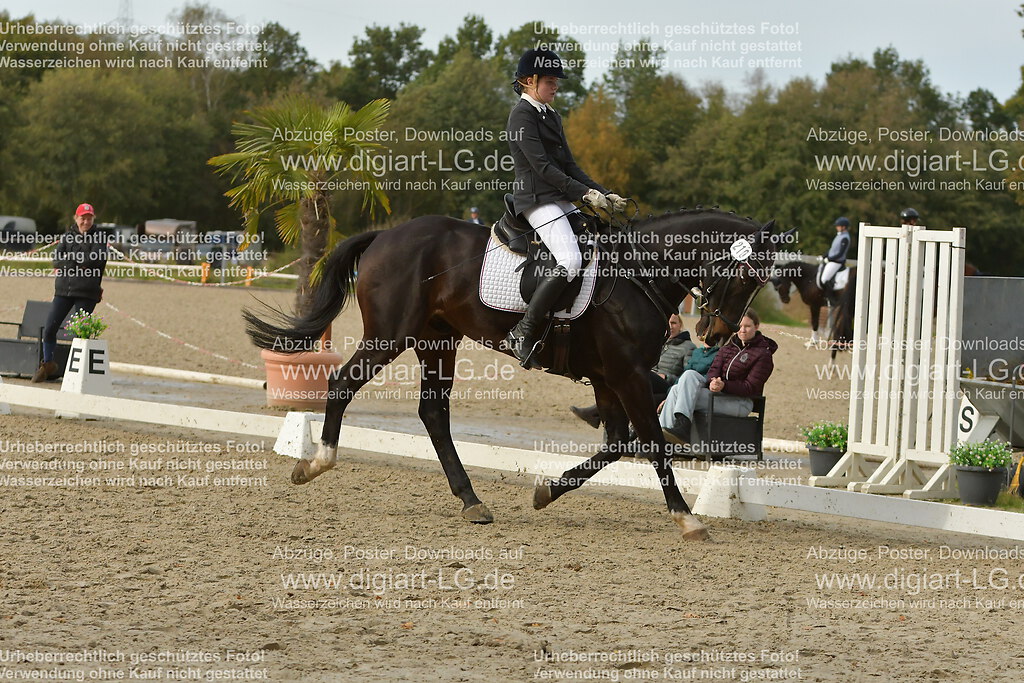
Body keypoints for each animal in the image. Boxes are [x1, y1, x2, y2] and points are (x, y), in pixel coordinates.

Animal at [244, 209, 788, 541]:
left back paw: (471, 501)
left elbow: (617, 443)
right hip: (390, 336)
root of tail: (387, 233)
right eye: (745, 274)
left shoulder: (608, 377)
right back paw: (315, 463)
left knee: (433, 413)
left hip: (437, 341)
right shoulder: (627, 374)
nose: (718, 333)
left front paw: (547, 490)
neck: (640, 273)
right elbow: (651, 442)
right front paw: (687, 518)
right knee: (343, 385)